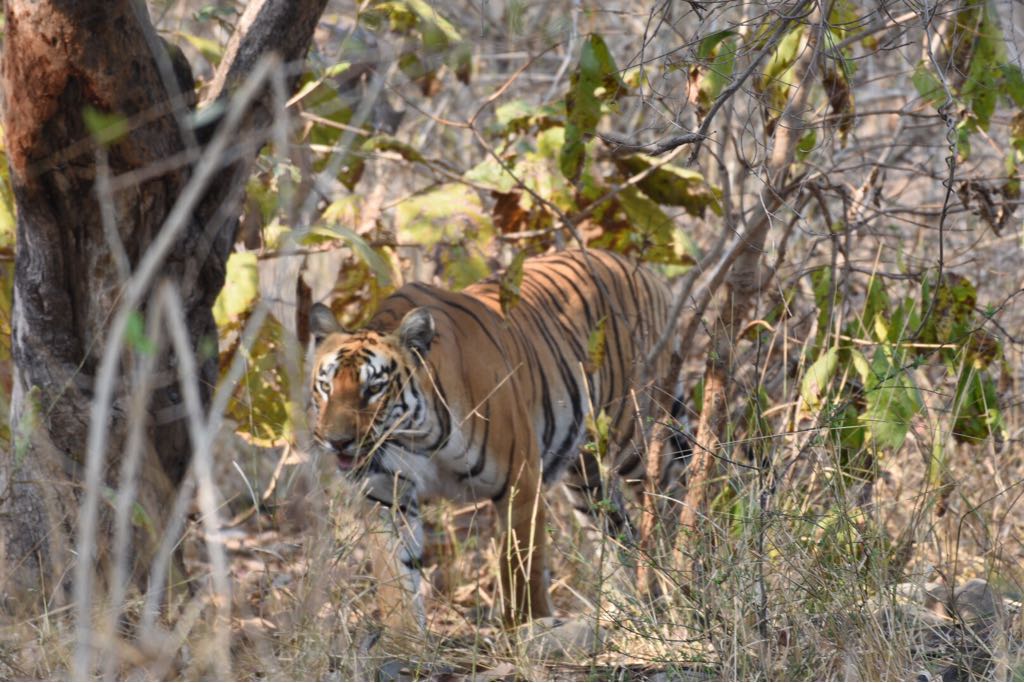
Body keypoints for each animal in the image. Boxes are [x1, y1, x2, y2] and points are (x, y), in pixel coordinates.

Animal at [308, 248, 688, 625]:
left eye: (373, 389)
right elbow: (395, 582)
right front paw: (405, 637)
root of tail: (640, 268)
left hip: (635, 437)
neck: (416, 435)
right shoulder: (386, 496)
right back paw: (631, 608)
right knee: (616, 532)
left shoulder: (519, 481)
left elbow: (522, 569)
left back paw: (684, 571)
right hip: (587, 473)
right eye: (326, 387)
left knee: (673, 500)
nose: (336, 441)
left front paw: (531, 626)